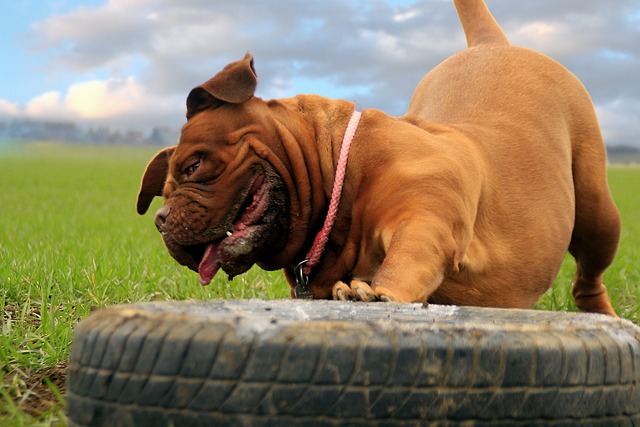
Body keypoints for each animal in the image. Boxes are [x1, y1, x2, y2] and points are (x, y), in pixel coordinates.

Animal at [135, 0, 620, 314]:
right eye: (163, 191)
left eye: (194, 166)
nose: (161, 220)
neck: (342, 171)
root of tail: (490, 44)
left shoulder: (427, 217)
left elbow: (409, 257)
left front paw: (378, 290)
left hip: (598, 215)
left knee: (589, 277)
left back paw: (604, 317)